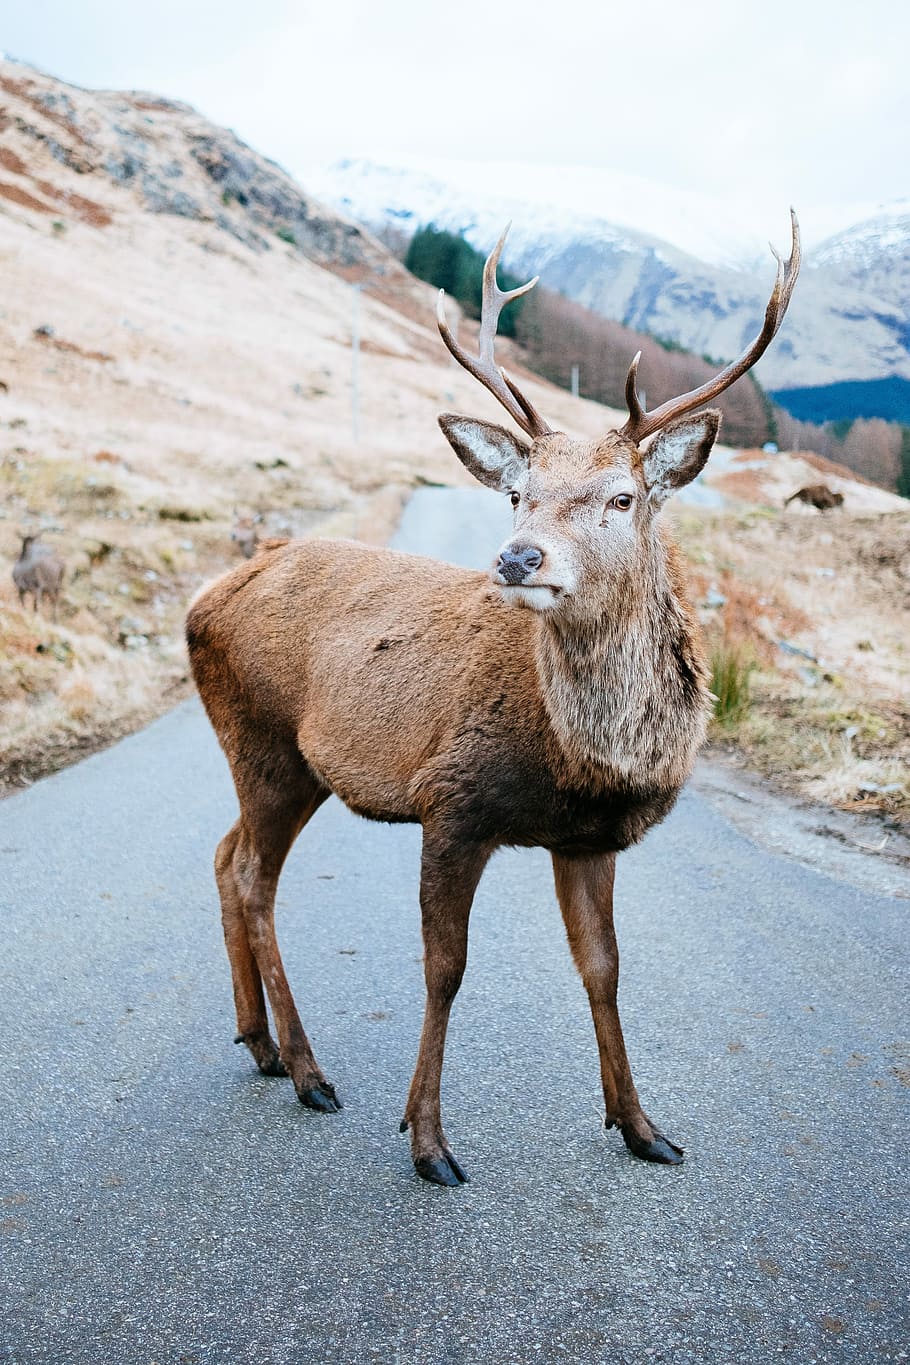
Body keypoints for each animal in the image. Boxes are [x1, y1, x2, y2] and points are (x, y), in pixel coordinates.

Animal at [187, 214, 800, 1186]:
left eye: (622, 497)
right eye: (519, 492)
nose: (518, 557)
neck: (579, 758)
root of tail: (201, 601)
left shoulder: (588, 838)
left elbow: (604, 968)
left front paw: (643, 1126)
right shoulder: (454, 799)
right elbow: (445, 968)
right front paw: (429, 1139)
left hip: (285, 760)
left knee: (223, 852)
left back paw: (262, 1043)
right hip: (263, 737)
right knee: (252, 874)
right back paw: (310, 1070)